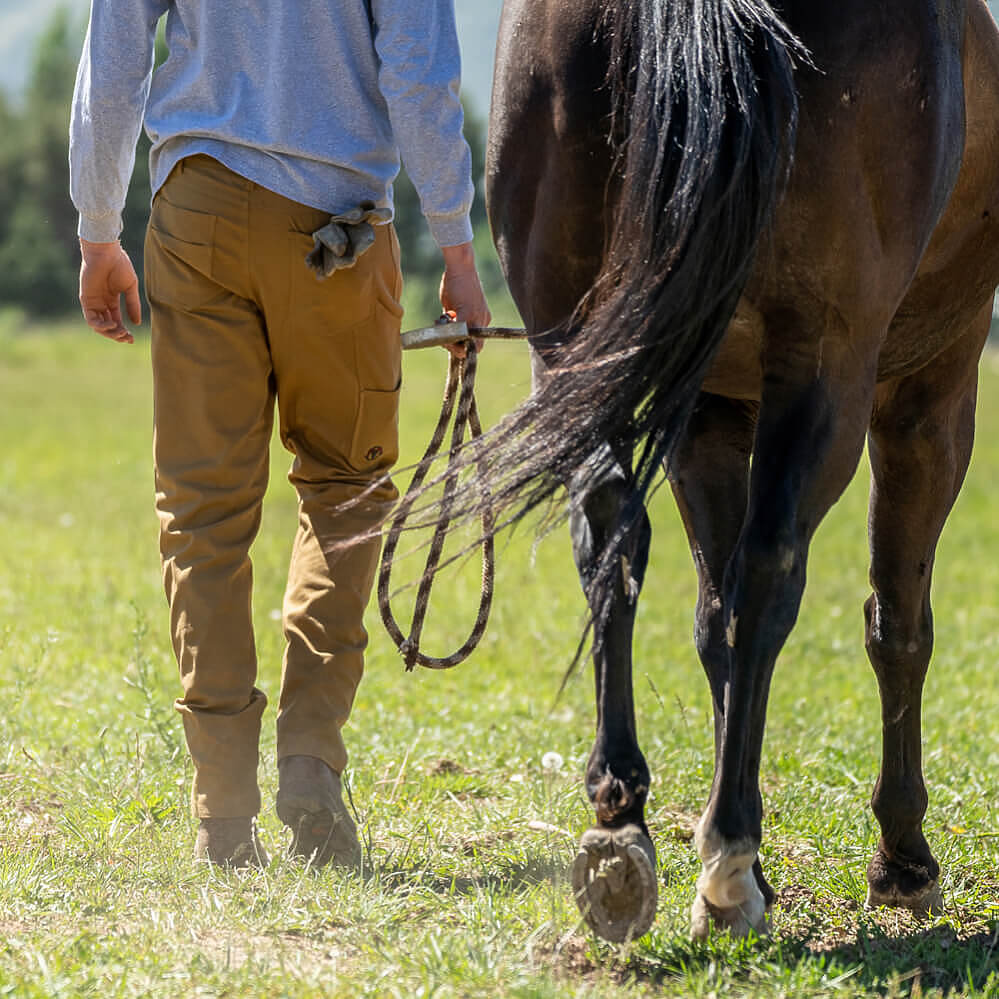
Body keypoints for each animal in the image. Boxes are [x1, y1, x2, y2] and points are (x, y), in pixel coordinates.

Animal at [478, 0, 999, 941]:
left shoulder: (710, 408)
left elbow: (707, 618)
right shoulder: (931, 395)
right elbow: (897, 622)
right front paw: (902, 858)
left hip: (574, 343)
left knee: (612, 538)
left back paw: (624, 823)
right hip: (832, 369)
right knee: (770, 568)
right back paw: (726, 857)